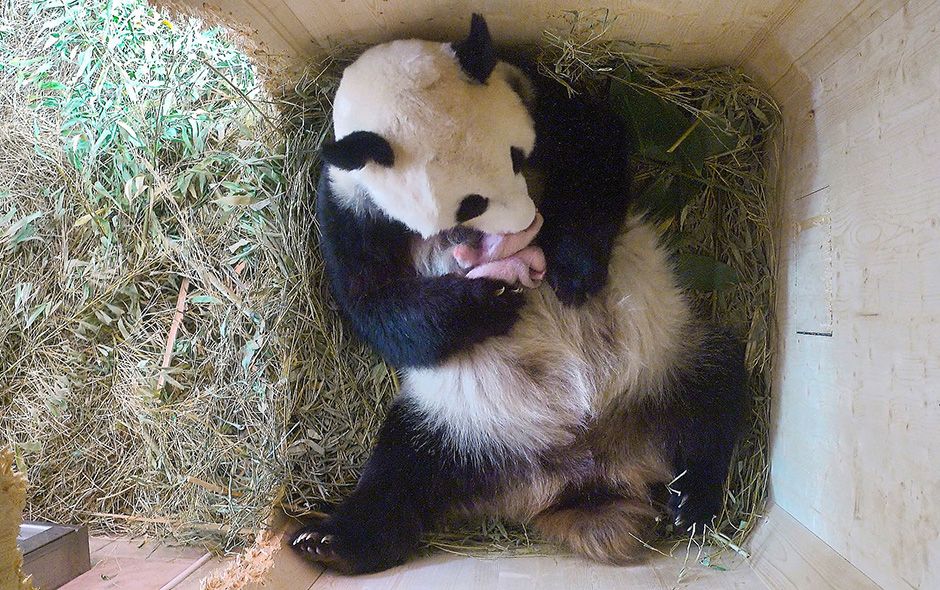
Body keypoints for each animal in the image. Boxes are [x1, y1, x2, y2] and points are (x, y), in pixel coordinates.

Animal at [291, 14, 749, 574]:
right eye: (469, 204)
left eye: (517, 156)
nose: (528, 224)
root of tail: (587, 469)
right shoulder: (350, 204)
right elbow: (377, 307)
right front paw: (488, 301)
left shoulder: (533, 93)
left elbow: (596, 147)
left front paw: (571, 269)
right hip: (458, 423)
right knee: (401, 475)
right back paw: (333, 541)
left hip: (665, 359)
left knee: (713, 392)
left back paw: (694, 499)